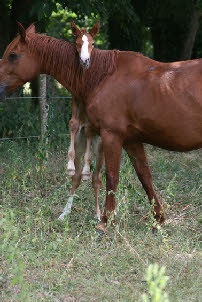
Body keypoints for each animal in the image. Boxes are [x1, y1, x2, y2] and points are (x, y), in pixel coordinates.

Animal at [0, 23, 201, 232]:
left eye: (12, 55)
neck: (103, 76)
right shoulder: (131, 141)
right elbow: (145, 177)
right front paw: (158, 219)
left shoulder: (111, 136)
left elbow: (111, 177)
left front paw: (105, 221)